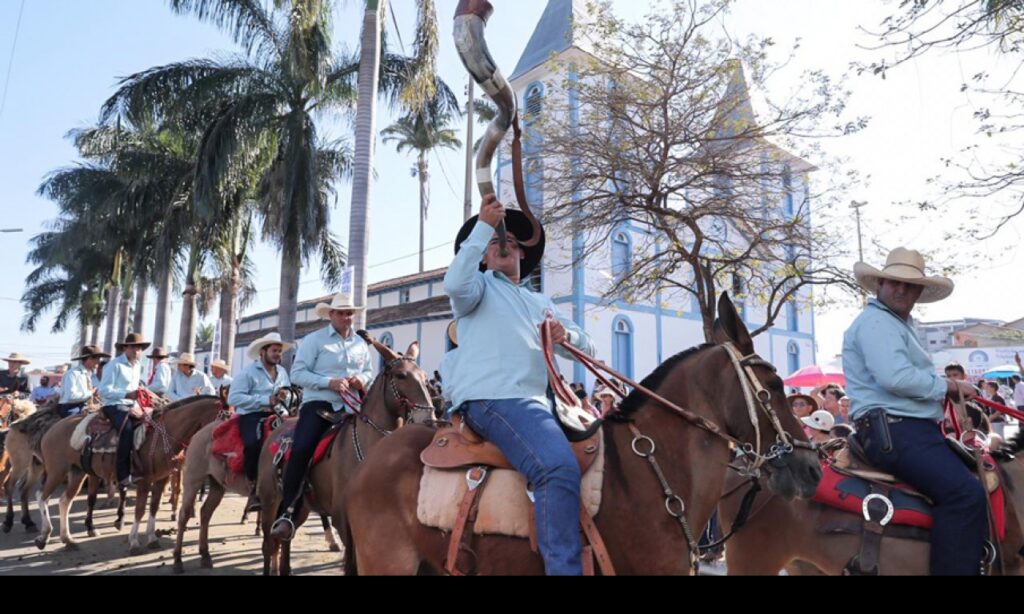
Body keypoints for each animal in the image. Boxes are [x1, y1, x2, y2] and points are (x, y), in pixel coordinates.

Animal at [34, 395, 224, 552]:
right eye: (224, 418)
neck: (164, 433)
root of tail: (52, 429)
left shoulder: (161, 479)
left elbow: (153, 507)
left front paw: (152, 538)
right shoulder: (144, 481)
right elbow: (139, 510)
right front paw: (134, 541)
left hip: (77, 472)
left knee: (64, 501)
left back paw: (67, 539)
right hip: (57, 470)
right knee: (42, 496)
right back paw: (44, 536)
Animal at [256, 335, 436, 577]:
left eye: (425, 379)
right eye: (401, 376)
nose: (429, 419)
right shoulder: (344, 522)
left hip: (300, 507)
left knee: (285, 540)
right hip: (270, 502)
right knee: (269, 546)